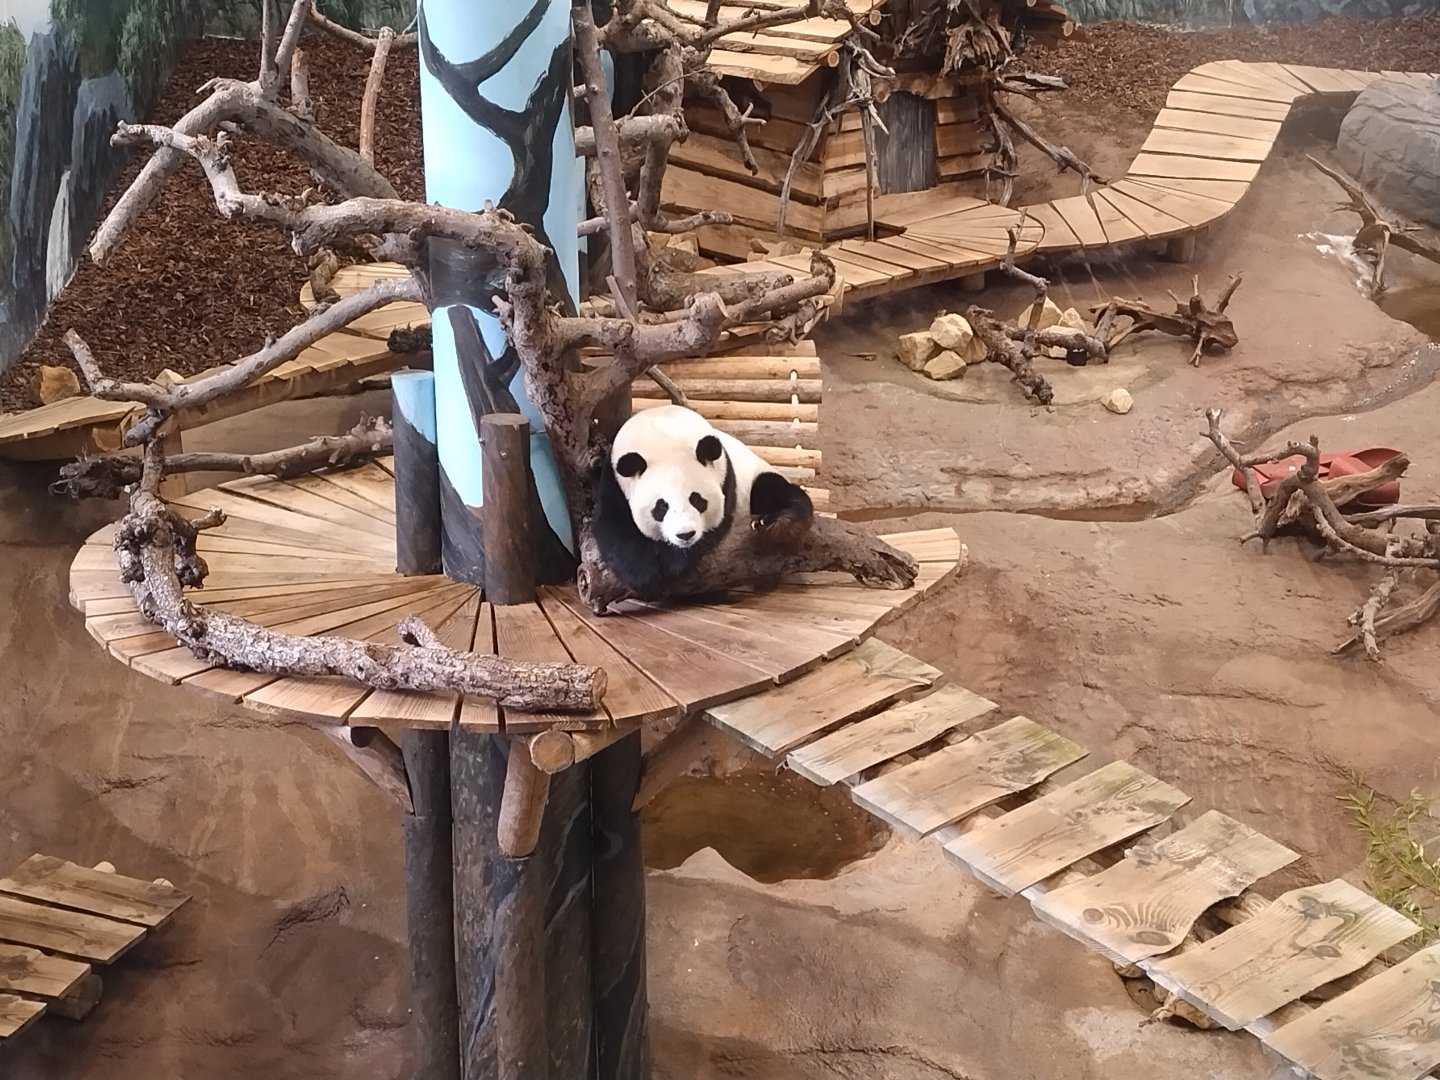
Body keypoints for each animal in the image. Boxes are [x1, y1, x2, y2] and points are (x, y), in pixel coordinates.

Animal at [590, 404, 815, 598]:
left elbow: (714, 527)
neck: (663, 432)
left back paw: (776, 523)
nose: (685, 535)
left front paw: (670, 564)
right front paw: (644, 576)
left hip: (756, 476)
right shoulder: (613, 480)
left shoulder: (725, 478)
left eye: (697, 500)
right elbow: (613, 525)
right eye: (661, 506)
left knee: (774, 490)